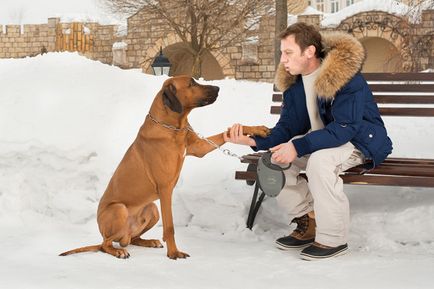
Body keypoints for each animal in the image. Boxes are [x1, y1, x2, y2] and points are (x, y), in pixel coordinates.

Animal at [57, 76, 268, 258]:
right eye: (191, 83)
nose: (217, 88)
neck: (173, 127)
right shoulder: (165, 189)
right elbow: (170, 227)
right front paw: (174, 253)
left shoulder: (199, 147)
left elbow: (228, 132)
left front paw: (256, 129)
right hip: (119, 210)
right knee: (104, 244)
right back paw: (117, 251)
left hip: (152, 209)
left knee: (132, 238)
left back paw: (147, 241)